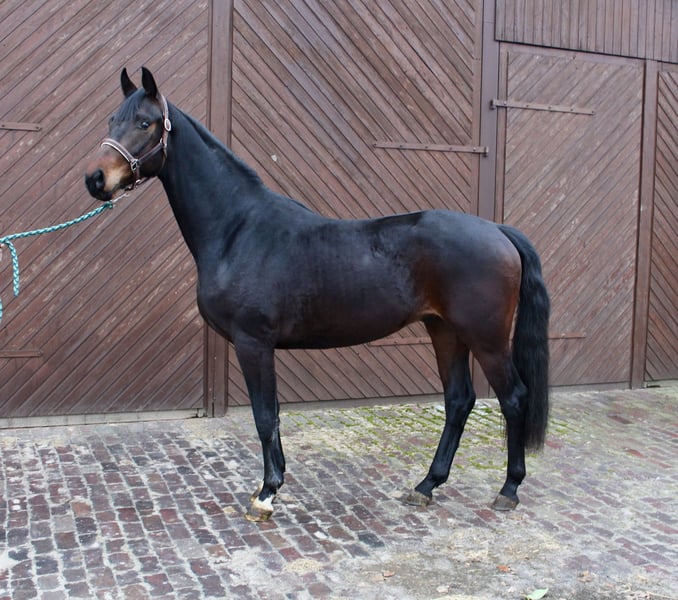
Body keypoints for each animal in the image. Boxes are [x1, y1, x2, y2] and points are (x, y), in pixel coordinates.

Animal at [85, 67, 550, 522]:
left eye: (145, 123)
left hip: (486, 339)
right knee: (459, 400)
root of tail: (498, 230)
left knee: (513, 398)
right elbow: (269, 416)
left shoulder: (254, 343)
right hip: (445, 332)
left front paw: (266, 494)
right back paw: (426, 486)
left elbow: (265, 416)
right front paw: (273, 484)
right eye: (111, 120)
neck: (238, 229)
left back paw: (508, 490)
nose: (96, 179)